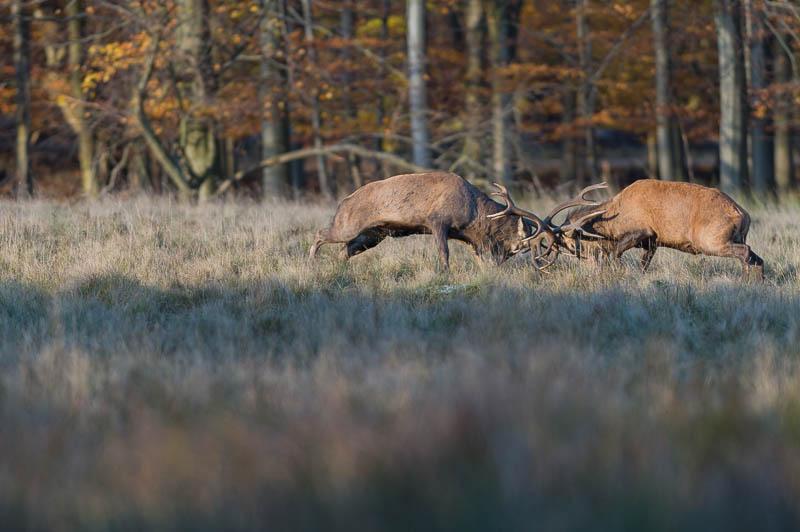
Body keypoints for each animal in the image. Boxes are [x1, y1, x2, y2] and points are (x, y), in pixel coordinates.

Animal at [306, 171, 536, 270]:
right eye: (518, 246)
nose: (498, 264)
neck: (472, 214)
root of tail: (343, 202)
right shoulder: (437, 221)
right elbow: (444, 253)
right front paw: (445, 274)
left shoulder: (465, 237)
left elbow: (477, 256)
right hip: (348, 225)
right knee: (320, 233)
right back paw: (311, 263)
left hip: (373, 234)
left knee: (343, 250)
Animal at [490, 179, 764, 278]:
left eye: (567, 243)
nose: (583, 259)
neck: (612, 222)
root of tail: (744, 214)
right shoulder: (652, 243)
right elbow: (643, 265)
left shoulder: (643, 232)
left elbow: (615, 254)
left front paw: (617, 272)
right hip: (734, 237)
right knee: (756, 258)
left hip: (712, 239)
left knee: (746, 254)